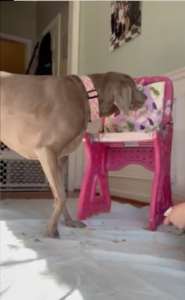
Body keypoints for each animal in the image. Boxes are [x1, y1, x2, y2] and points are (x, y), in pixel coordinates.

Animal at [0, 71, 147, 238]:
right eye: (134, 87)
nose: (146, 97)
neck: (86, 94)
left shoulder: (59, 159)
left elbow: (59, 195)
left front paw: (68, 222)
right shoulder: (47, 151)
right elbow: (62, 197)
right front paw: (51, 228)